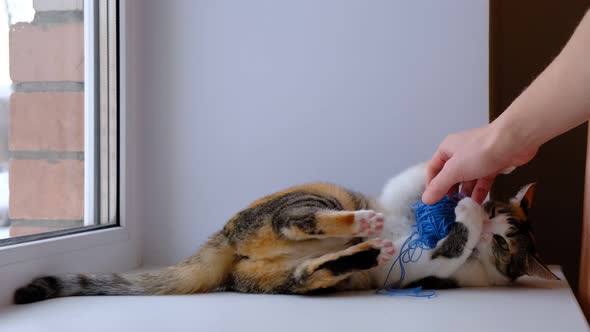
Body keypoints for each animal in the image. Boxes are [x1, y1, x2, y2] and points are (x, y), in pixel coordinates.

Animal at [13, 163, 560, 304]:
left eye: (504, 244)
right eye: (500, 211)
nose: (488, 216)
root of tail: (224, 241)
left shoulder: (438, 267)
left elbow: (448, 247)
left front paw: (463, 215)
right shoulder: (394, 192)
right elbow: (413, 181)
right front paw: (456, 182)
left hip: (288, 269)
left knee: (302, 262)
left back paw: (364, 247)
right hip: (325, 194)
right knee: (292, 223)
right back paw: (363, 228)